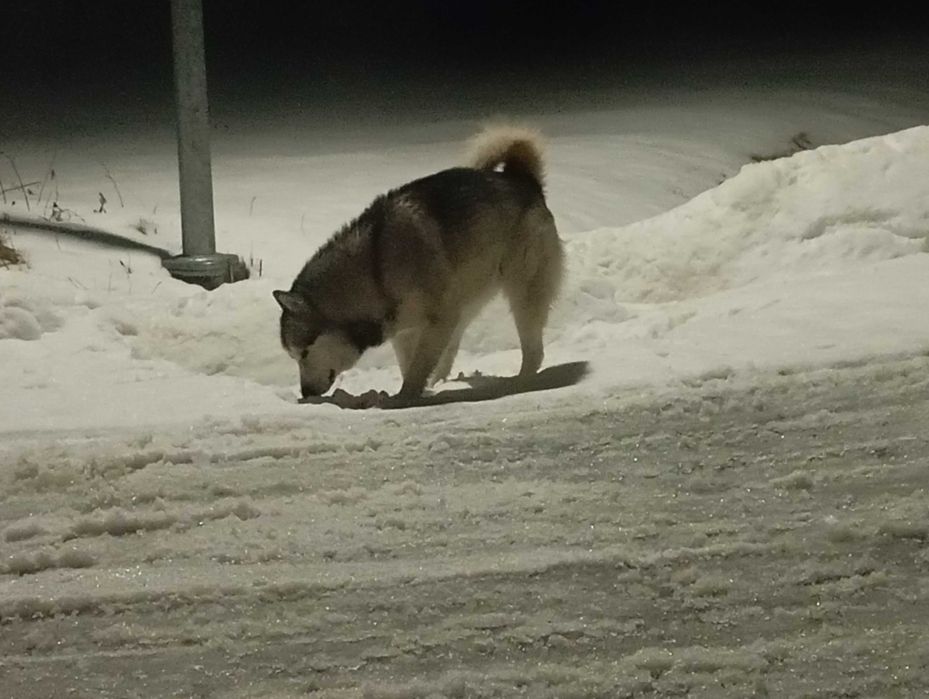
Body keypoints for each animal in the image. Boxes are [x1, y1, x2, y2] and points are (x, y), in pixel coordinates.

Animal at [273, 125, 564, 404]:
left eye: (303, 353)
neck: (376, 268)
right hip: (468, 296)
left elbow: (417, 368)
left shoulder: (438, 320)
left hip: (522, 293)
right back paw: (442, 383)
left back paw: (520, 383)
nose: (306, 393)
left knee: (534, 350)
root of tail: (524, 180)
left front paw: (402, 400)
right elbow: (411, 364)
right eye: (294, 356)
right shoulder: (407, 330)